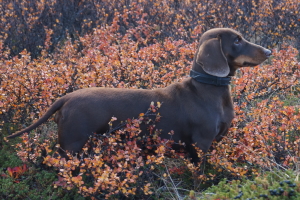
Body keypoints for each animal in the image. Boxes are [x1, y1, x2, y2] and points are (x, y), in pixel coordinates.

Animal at [7, 28, 270, 162]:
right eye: (237, 40)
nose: (268, 51)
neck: (208, 89)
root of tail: (66, 98)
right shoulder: (201, 143)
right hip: (72, 146)